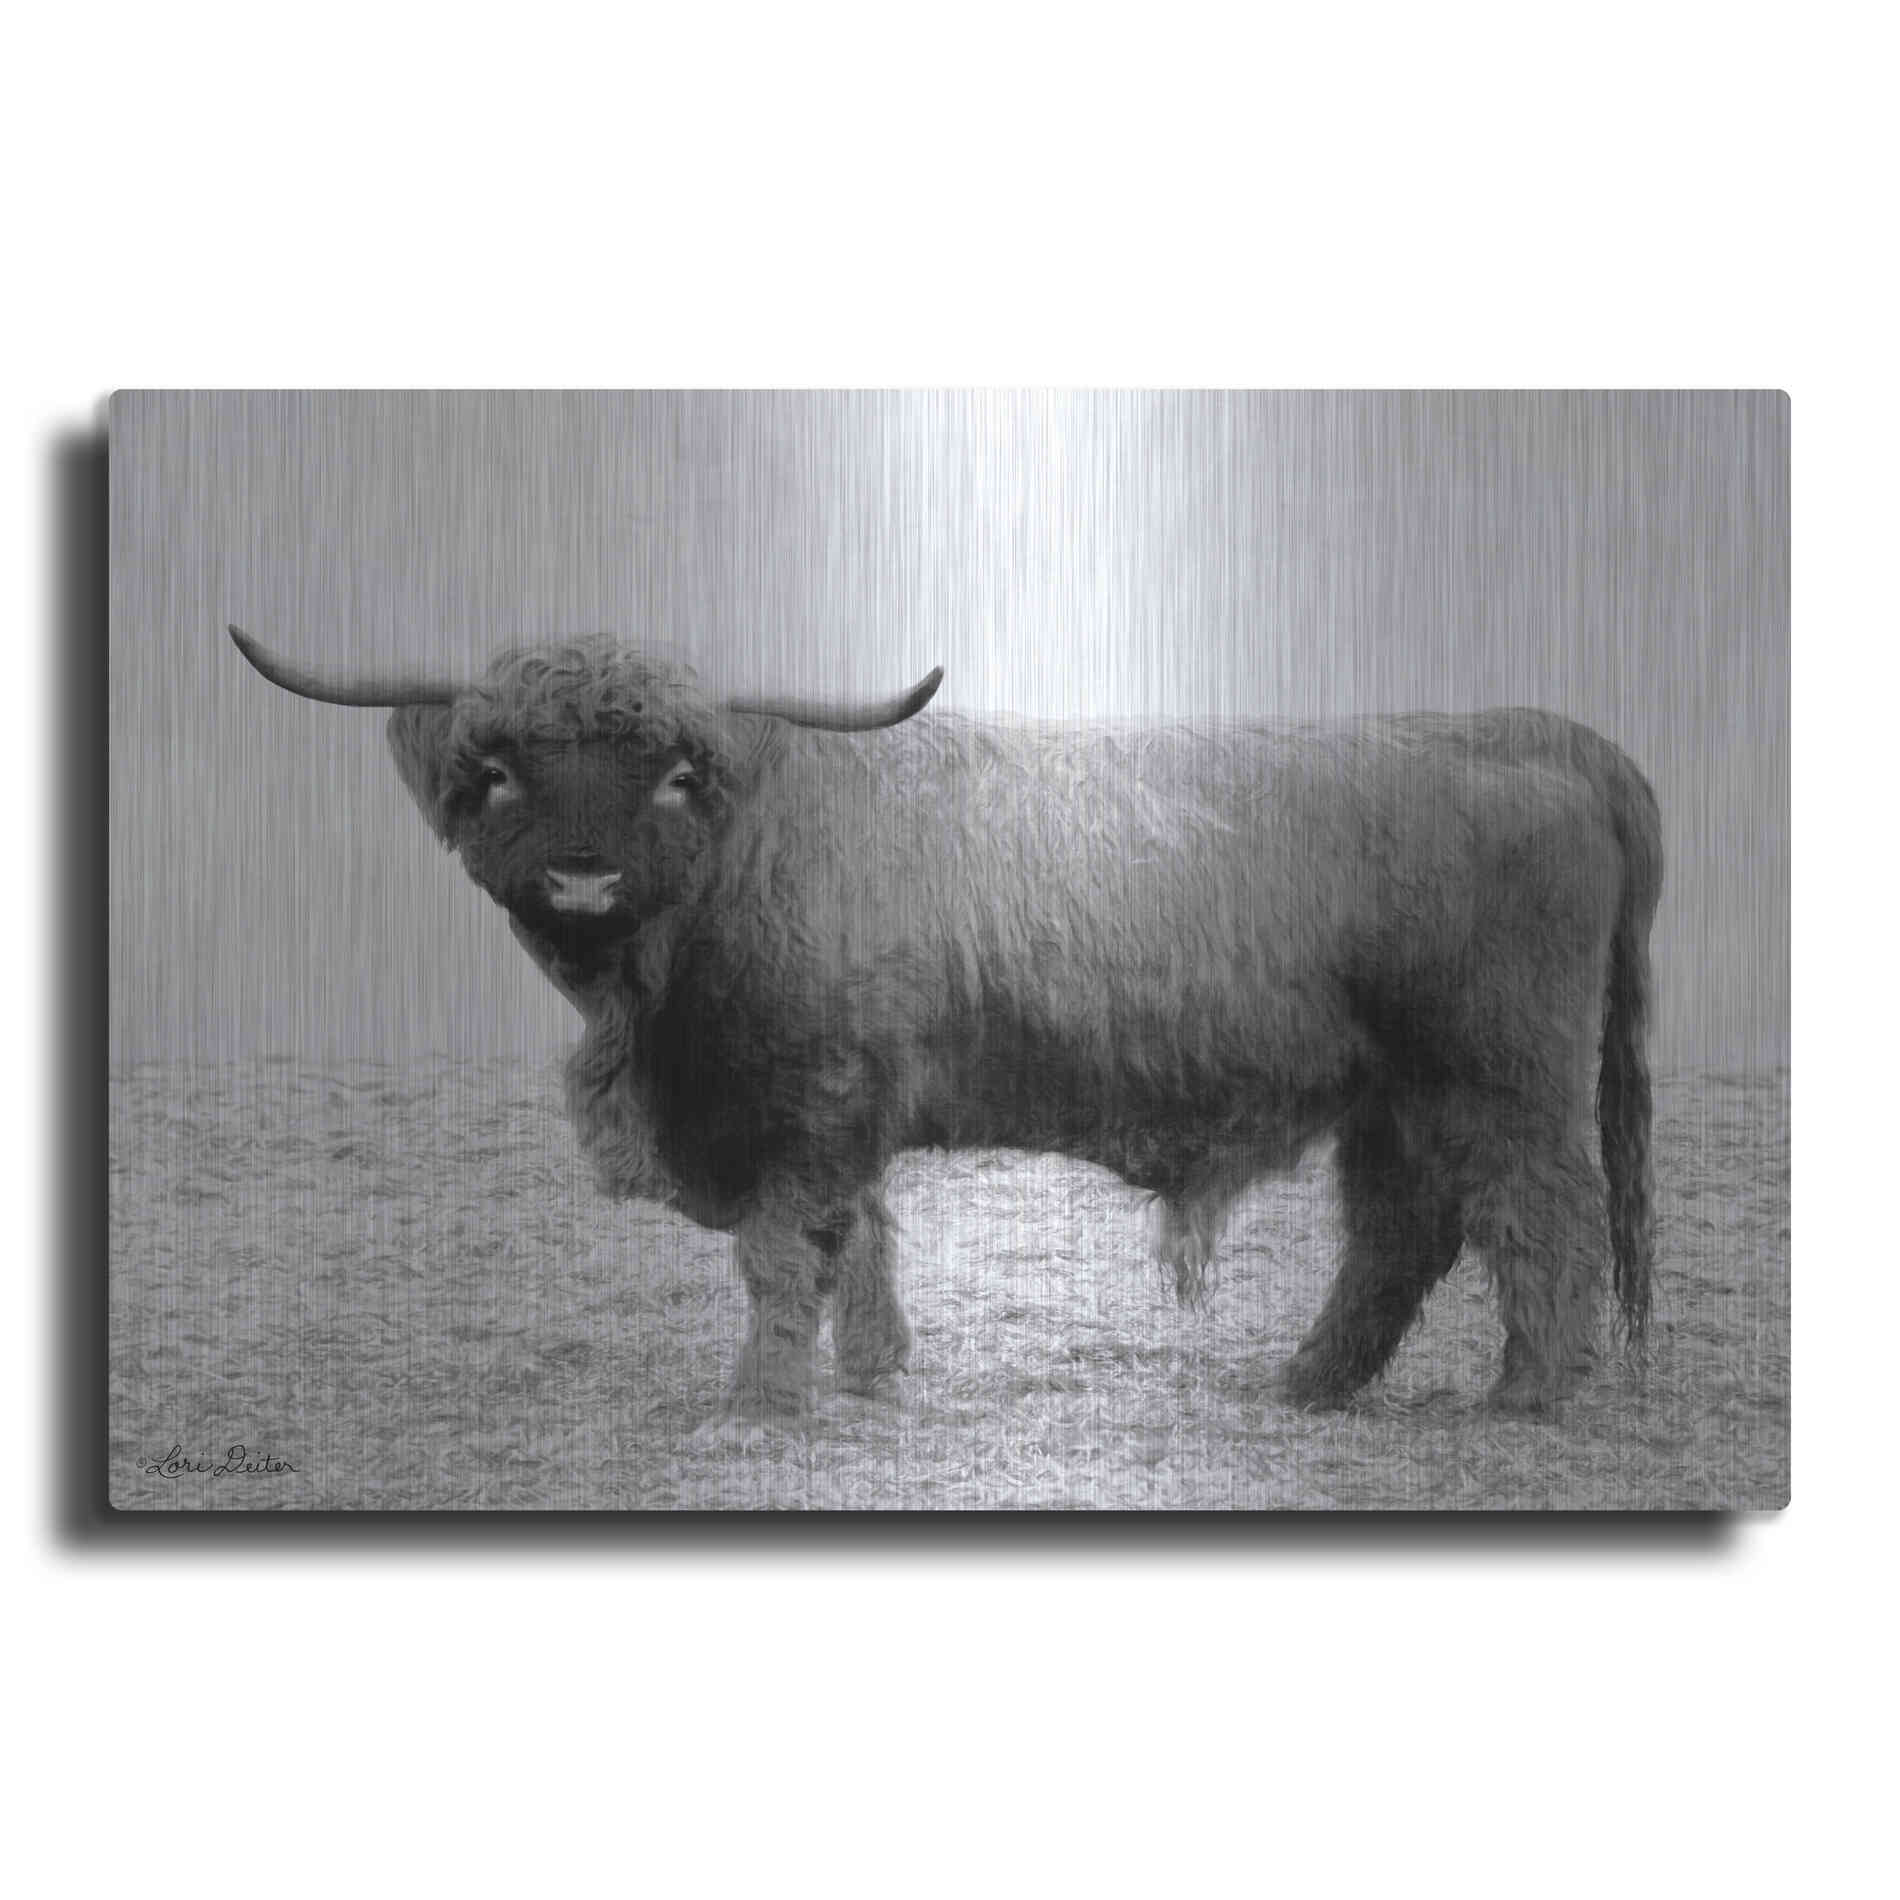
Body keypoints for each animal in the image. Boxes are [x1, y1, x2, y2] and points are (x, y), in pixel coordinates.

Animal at [229, 624, 1661, 1420]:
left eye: (680, 775)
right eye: (500, 771)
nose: (582, 880)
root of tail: (1533, 730)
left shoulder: (803, 1102)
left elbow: (783, 1253)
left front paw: (762, 1403)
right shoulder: (843, 1110)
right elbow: (863, 1236)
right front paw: (872, 1370)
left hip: (1496, 1075)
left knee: (1541, 1213)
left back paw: (1526, 1394)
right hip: (1394, 1094)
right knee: (1400, 1235)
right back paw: (1309, 1385)